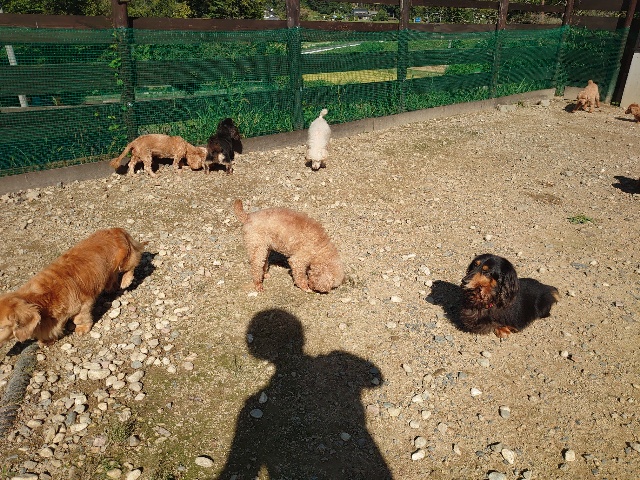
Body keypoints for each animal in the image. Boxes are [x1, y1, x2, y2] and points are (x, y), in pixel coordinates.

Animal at [0, 228, 145, 346]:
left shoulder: (83, 304)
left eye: (1, 328)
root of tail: (117, 230)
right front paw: (47, 341)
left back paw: (126, 281)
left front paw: (82, 329)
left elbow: (79, 318)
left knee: (132, 265)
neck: (43, 299)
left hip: (124, 261)